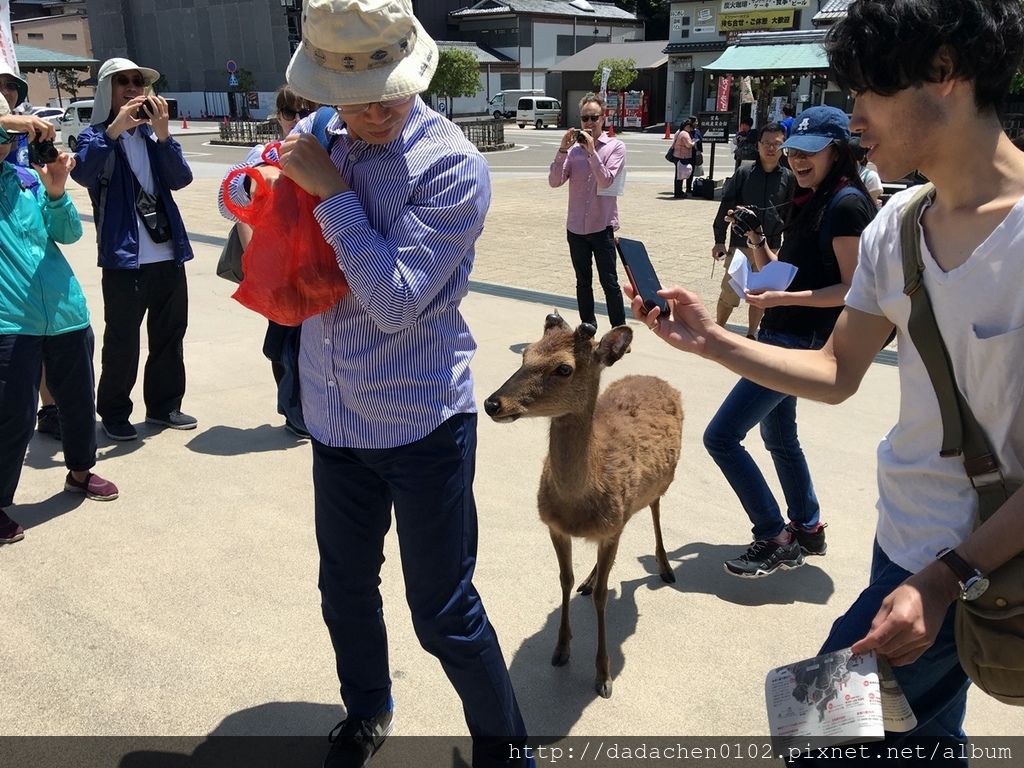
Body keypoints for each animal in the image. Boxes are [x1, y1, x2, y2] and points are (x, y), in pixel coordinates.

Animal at [483, 315, 684, 700]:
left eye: (564, 368)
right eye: (526, 354)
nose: (493, 404)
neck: (578, 504)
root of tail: (658, 379)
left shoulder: (611, 529)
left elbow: (605, 597)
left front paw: (603, 675)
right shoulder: (555, 527)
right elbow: (565, 579)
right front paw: (561, 649)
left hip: (664, 481)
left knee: (654, 509)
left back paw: (665, 567)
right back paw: (591, 579)